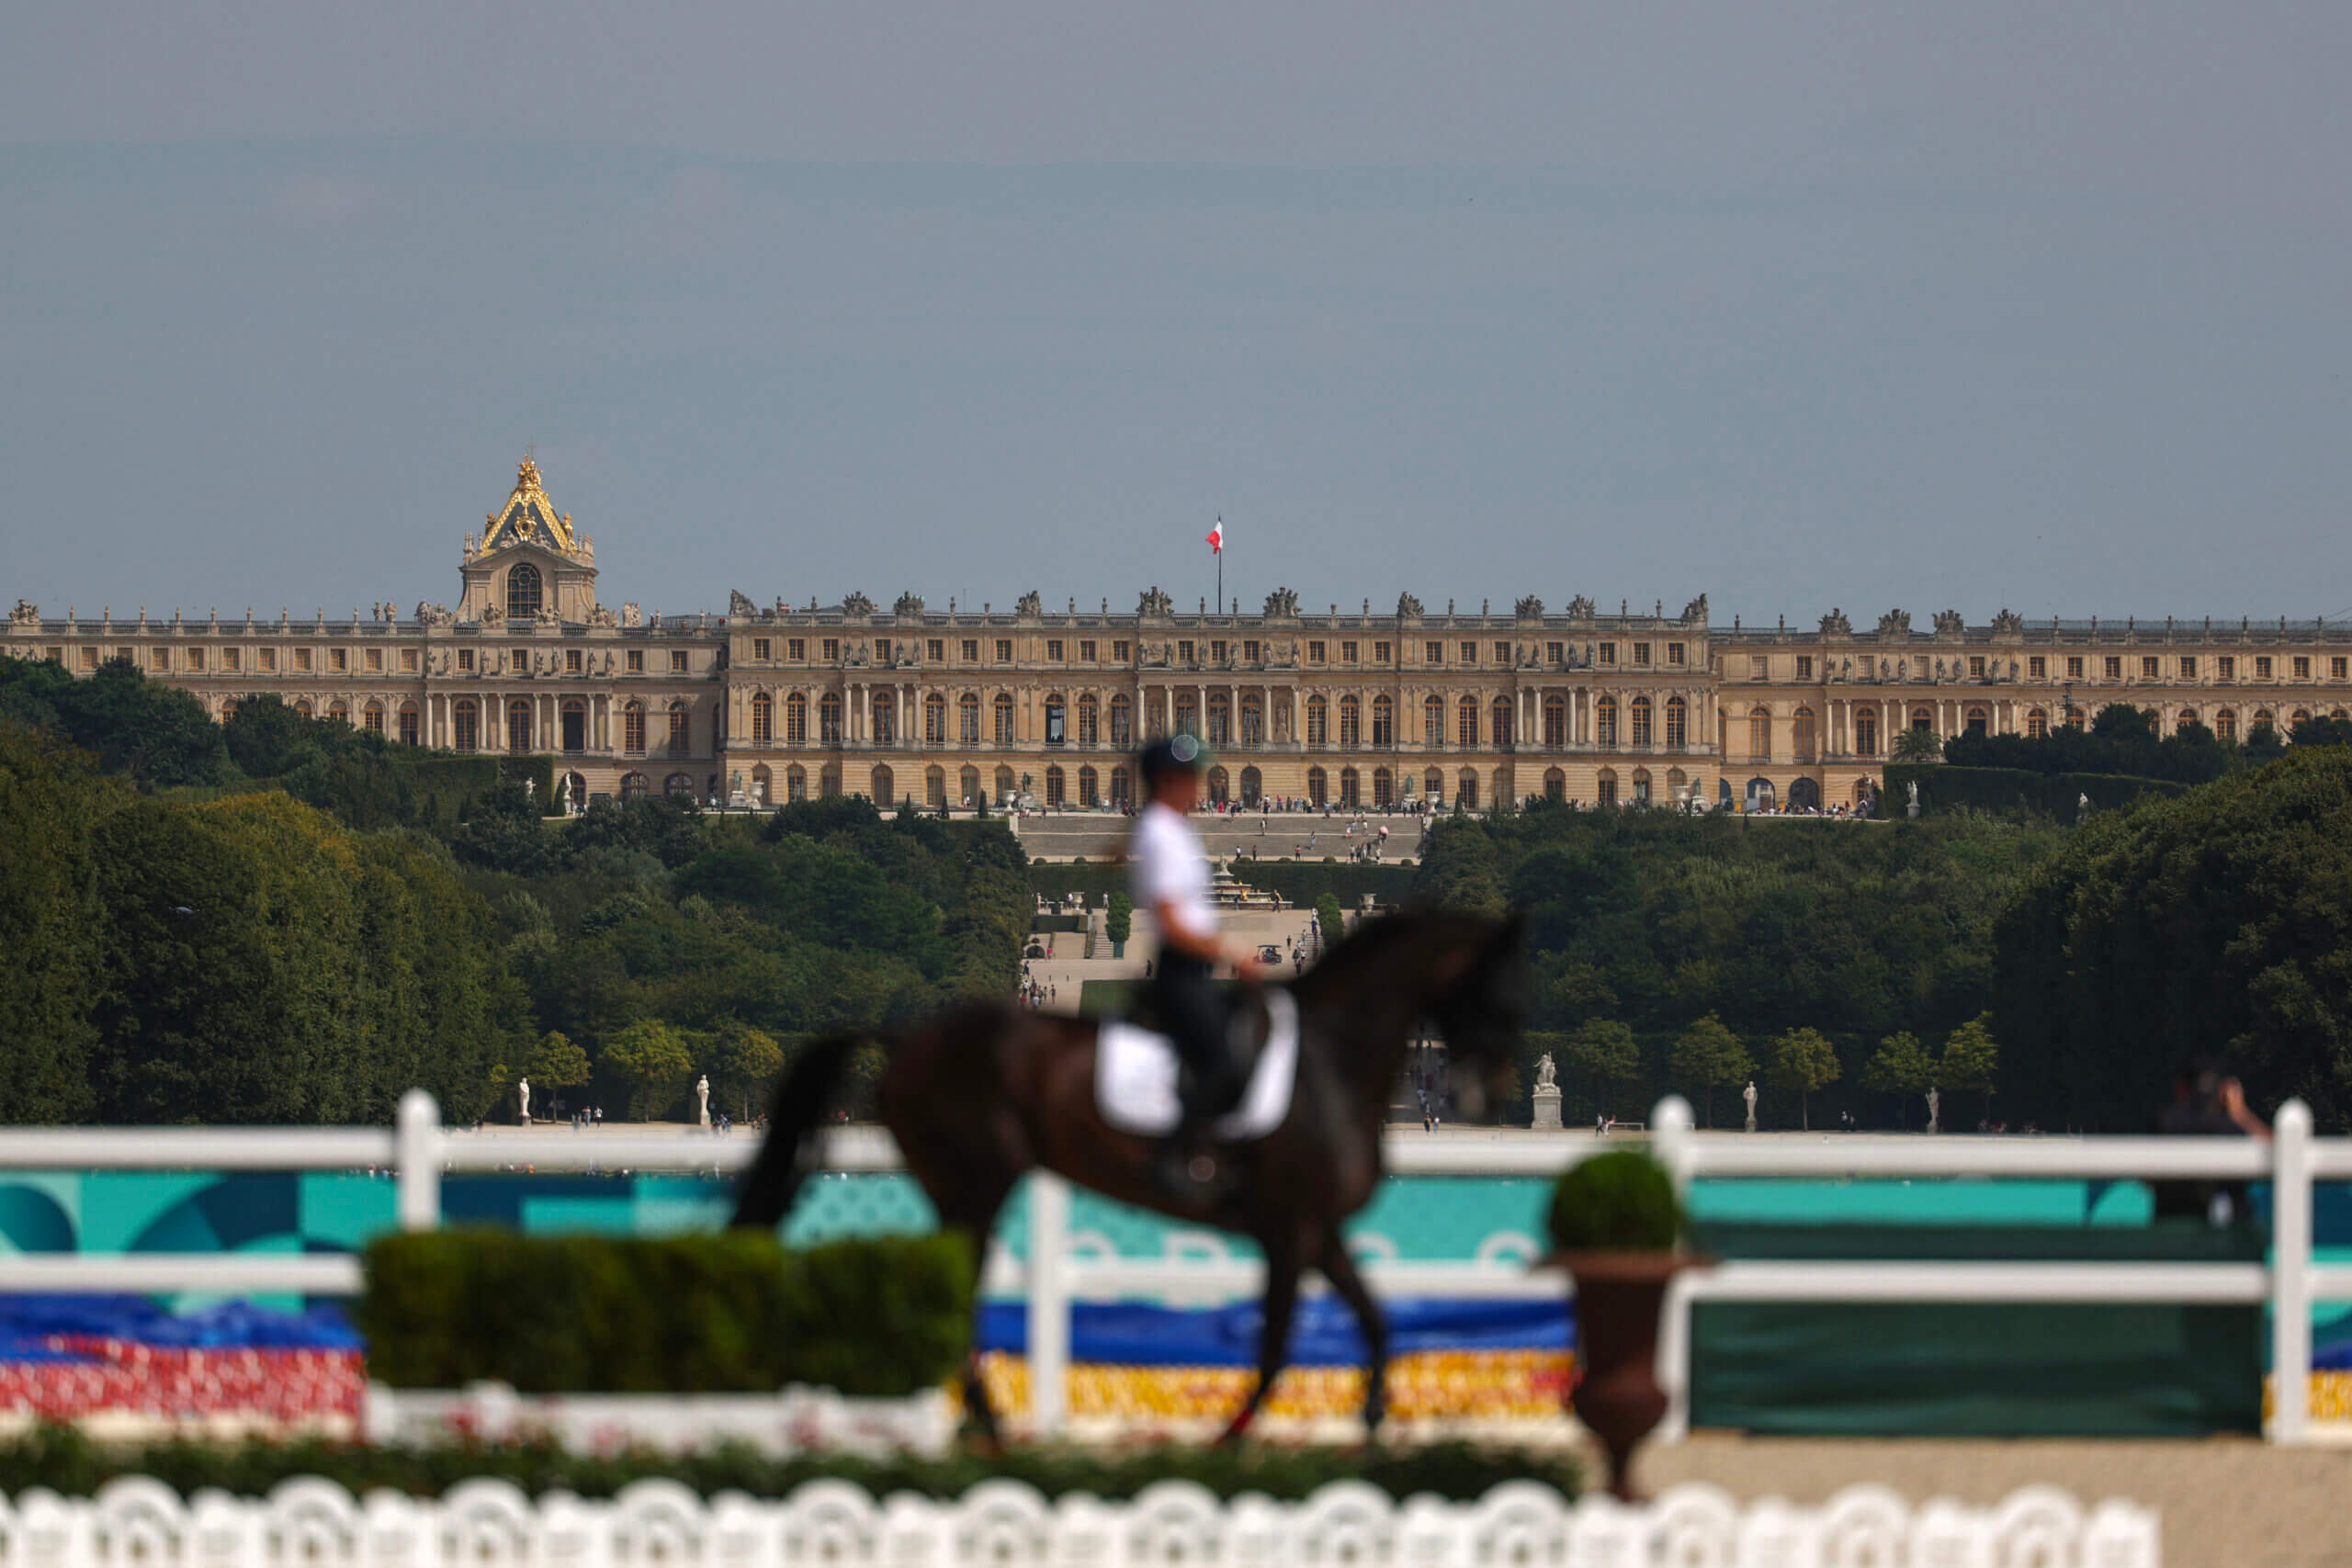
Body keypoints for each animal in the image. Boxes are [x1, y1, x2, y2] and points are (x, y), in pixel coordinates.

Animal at [729, 911, 1523, 1438]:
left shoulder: (1310, 1230)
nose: (1489, 1088)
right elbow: (1277, 1343)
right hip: (976, 1184)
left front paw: (1369, 1423)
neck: (1327, 1060)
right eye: (1488, 987)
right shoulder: (1291, 1226)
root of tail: (905, 1041)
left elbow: (1367, 1324)